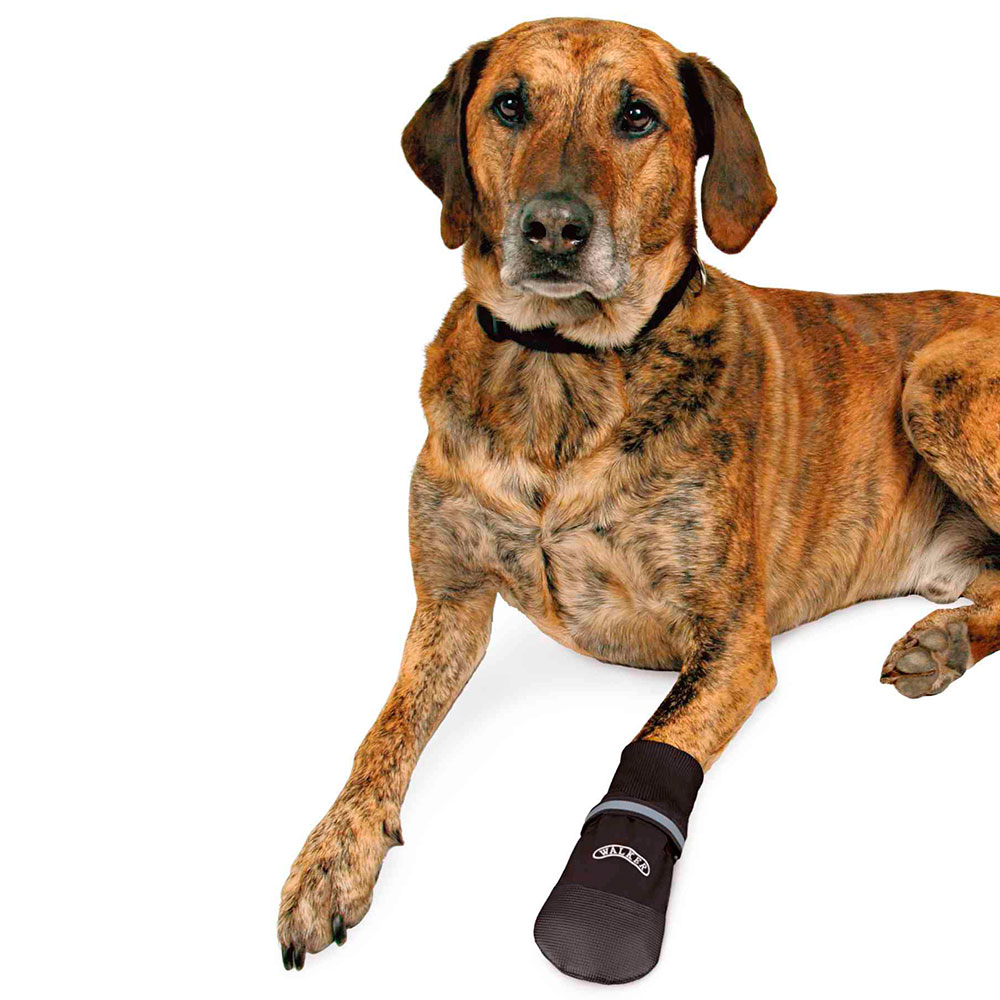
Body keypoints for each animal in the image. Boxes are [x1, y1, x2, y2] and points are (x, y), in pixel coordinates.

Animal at [278, 16, 1000, 976]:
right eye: (510, 104)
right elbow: (383, 732)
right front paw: (329, 858)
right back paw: (944, 642)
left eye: (638, 117)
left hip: (939, 379)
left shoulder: (729, 641)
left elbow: (653, 739)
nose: (553, 226)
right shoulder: (450, 601)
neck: (560, 371)